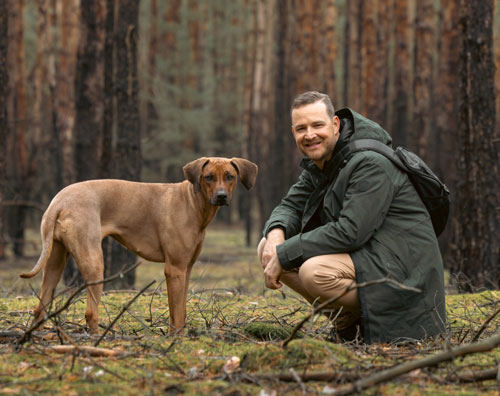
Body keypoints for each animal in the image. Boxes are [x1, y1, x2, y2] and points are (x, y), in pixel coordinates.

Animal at [19, 158, 258, 334]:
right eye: (208, 177)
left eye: (230, 176)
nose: (221, 196)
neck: (193, 203)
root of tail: (58, 201)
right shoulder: (175, 269)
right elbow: (178, 313)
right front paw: (175, 338)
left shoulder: (186, 269)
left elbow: (179, 310)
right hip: (94, 262)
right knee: (90, 312)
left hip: (55, 259)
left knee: (40, 307)